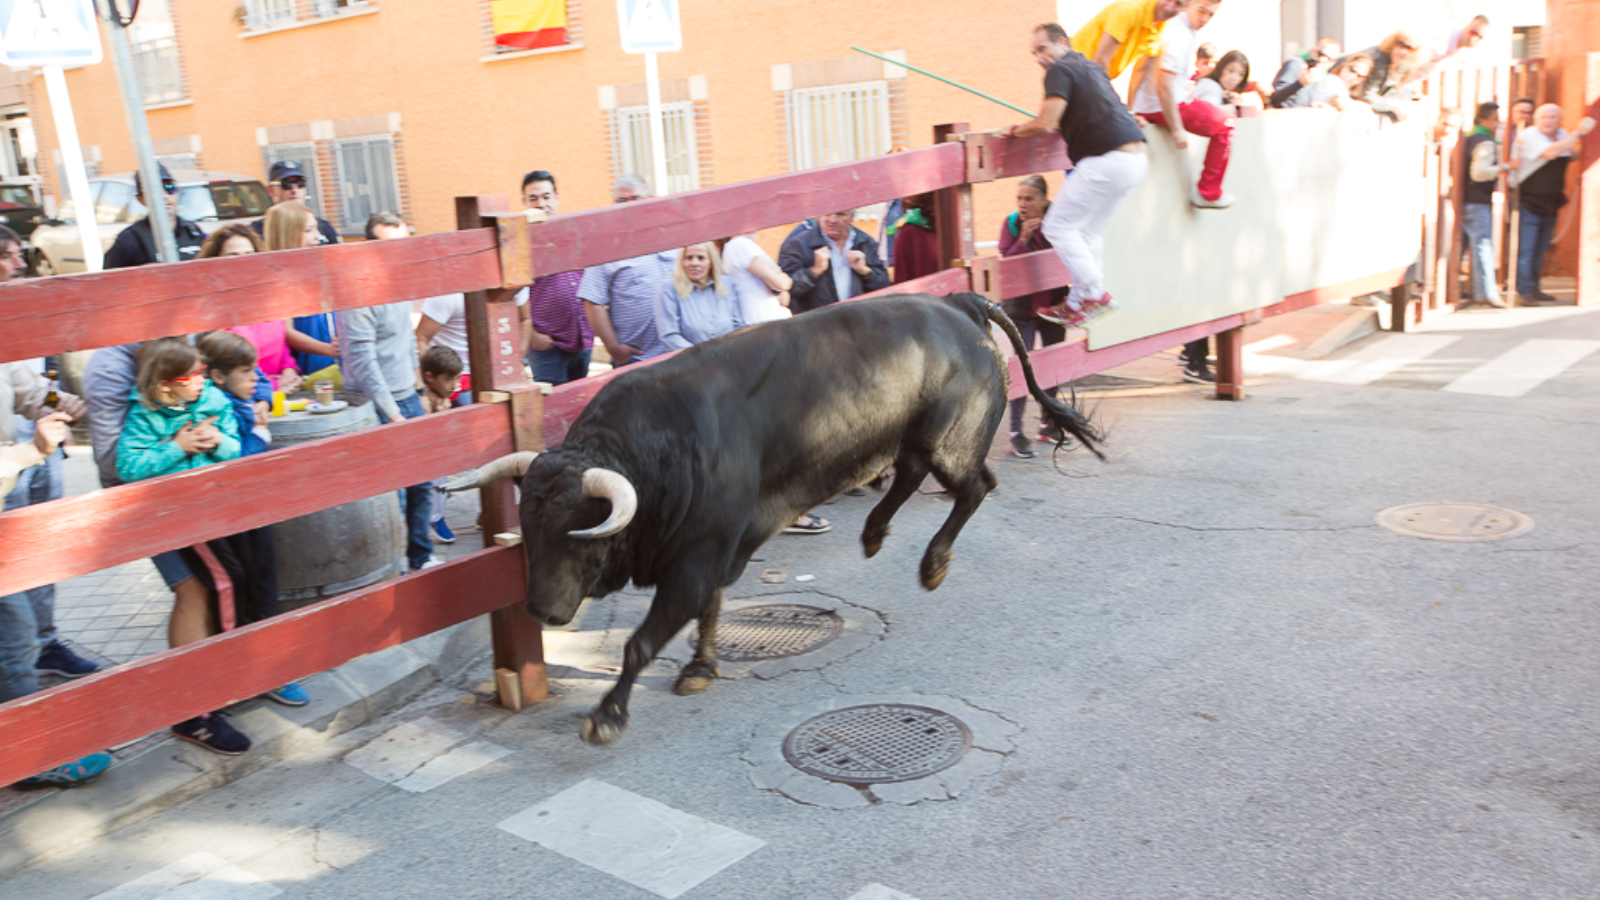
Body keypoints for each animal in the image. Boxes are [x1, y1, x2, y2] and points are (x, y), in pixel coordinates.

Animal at [451, 291, 1100, 739]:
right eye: (529, 530)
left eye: (579, 535)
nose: (542, 611)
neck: (657, 450)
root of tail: (954, 302)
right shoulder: (712, 553)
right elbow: (711, 612)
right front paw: (701, 668)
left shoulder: (693, 562)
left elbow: (642, 642)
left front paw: (607, 716)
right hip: (916, 440)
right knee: (911, 473)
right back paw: (873, 533)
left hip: (952, 442)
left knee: (973, 486)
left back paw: (933, 564)